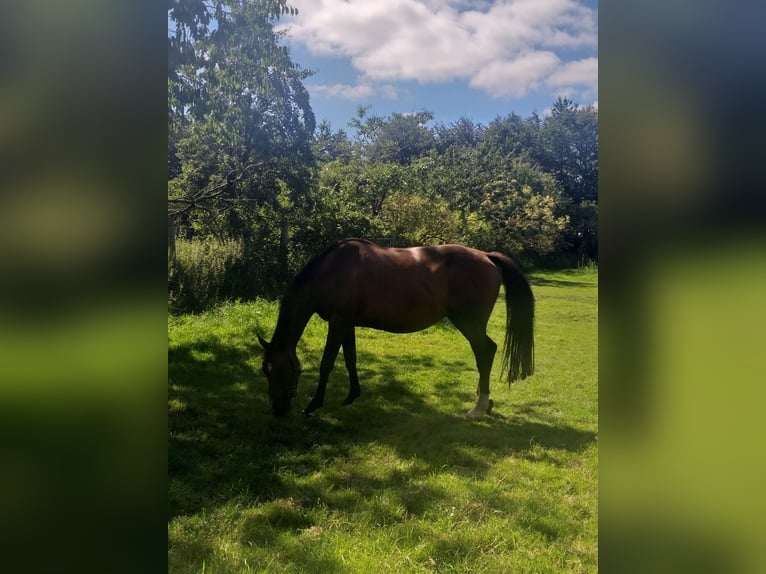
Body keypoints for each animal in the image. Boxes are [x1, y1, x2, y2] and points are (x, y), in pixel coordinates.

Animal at [258, 236, 536, 420]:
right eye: (264, 371)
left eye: (276, 370)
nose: (278, 409)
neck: (331, 270)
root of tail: (487, 257)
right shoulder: (347, 323)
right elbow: (350, 359)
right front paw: (352, 396)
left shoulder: (338, 322)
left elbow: (327, 363)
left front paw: (313, 405)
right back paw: (485, 400)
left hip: (469, 323)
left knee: (485, 352)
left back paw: (478, 407)